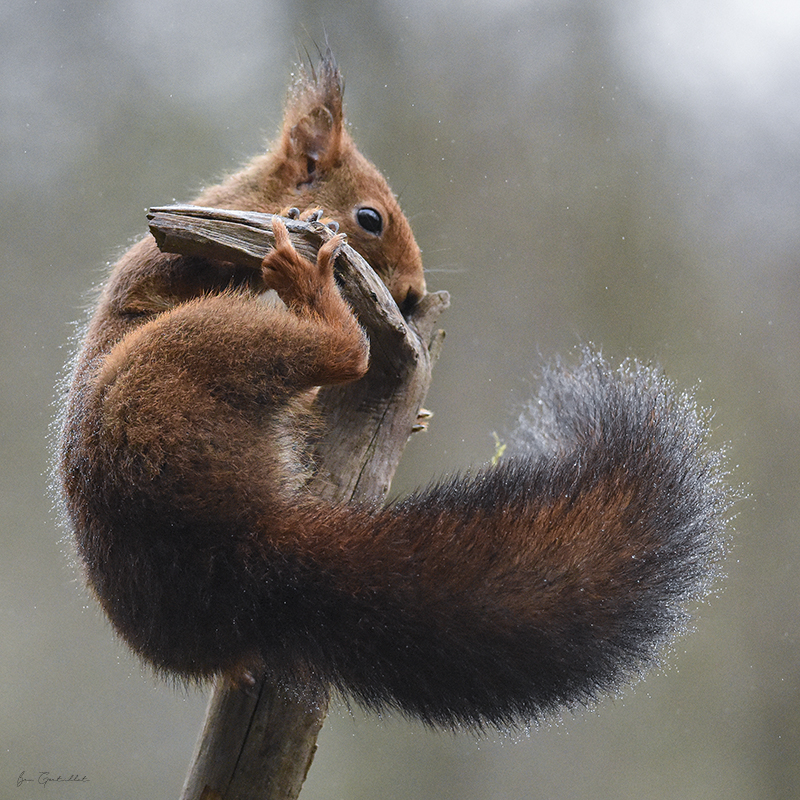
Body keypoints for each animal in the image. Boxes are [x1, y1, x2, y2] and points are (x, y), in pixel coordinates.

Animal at [57, 51, 732, 732]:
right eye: (370, 218)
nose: (411, 294)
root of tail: (237, 535)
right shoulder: (167, 256)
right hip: (180, 356)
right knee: (343, 350)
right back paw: (307, 283)